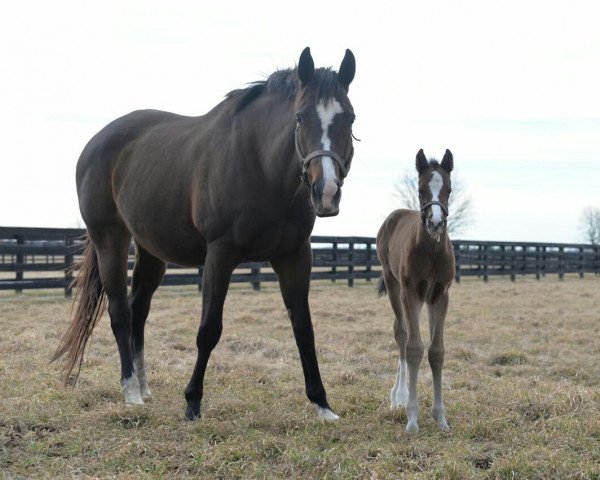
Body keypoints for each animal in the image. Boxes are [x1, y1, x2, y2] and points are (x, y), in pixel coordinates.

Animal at [52, 47, 356, 420]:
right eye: (300, 117)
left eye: (350, 119)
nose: (325, 192)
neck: (261, 166)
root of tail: (95, 143)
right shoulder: (220, 254)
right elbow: (209, 329)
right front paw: (192, 402)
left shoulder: (295, 255)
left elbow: (304, 329)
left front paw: (322, 404)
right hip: (110, 238)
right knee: (120, 312)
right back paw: (131, 391)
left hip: (151, 250)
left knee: (139, 311)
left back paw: (144, 386)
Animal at [378, 149, 458, 432]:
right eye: (421, 189)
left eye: (449, 189)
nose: (435, 222)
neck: (431, 250)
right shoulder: (410, 292)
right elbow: (414, 348)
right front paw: (412, 418)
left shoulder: (440, 296)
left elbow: (436, 351)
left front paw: (441, 417)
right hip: (393, 286)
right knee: (401, 333)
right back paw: (398, 395)